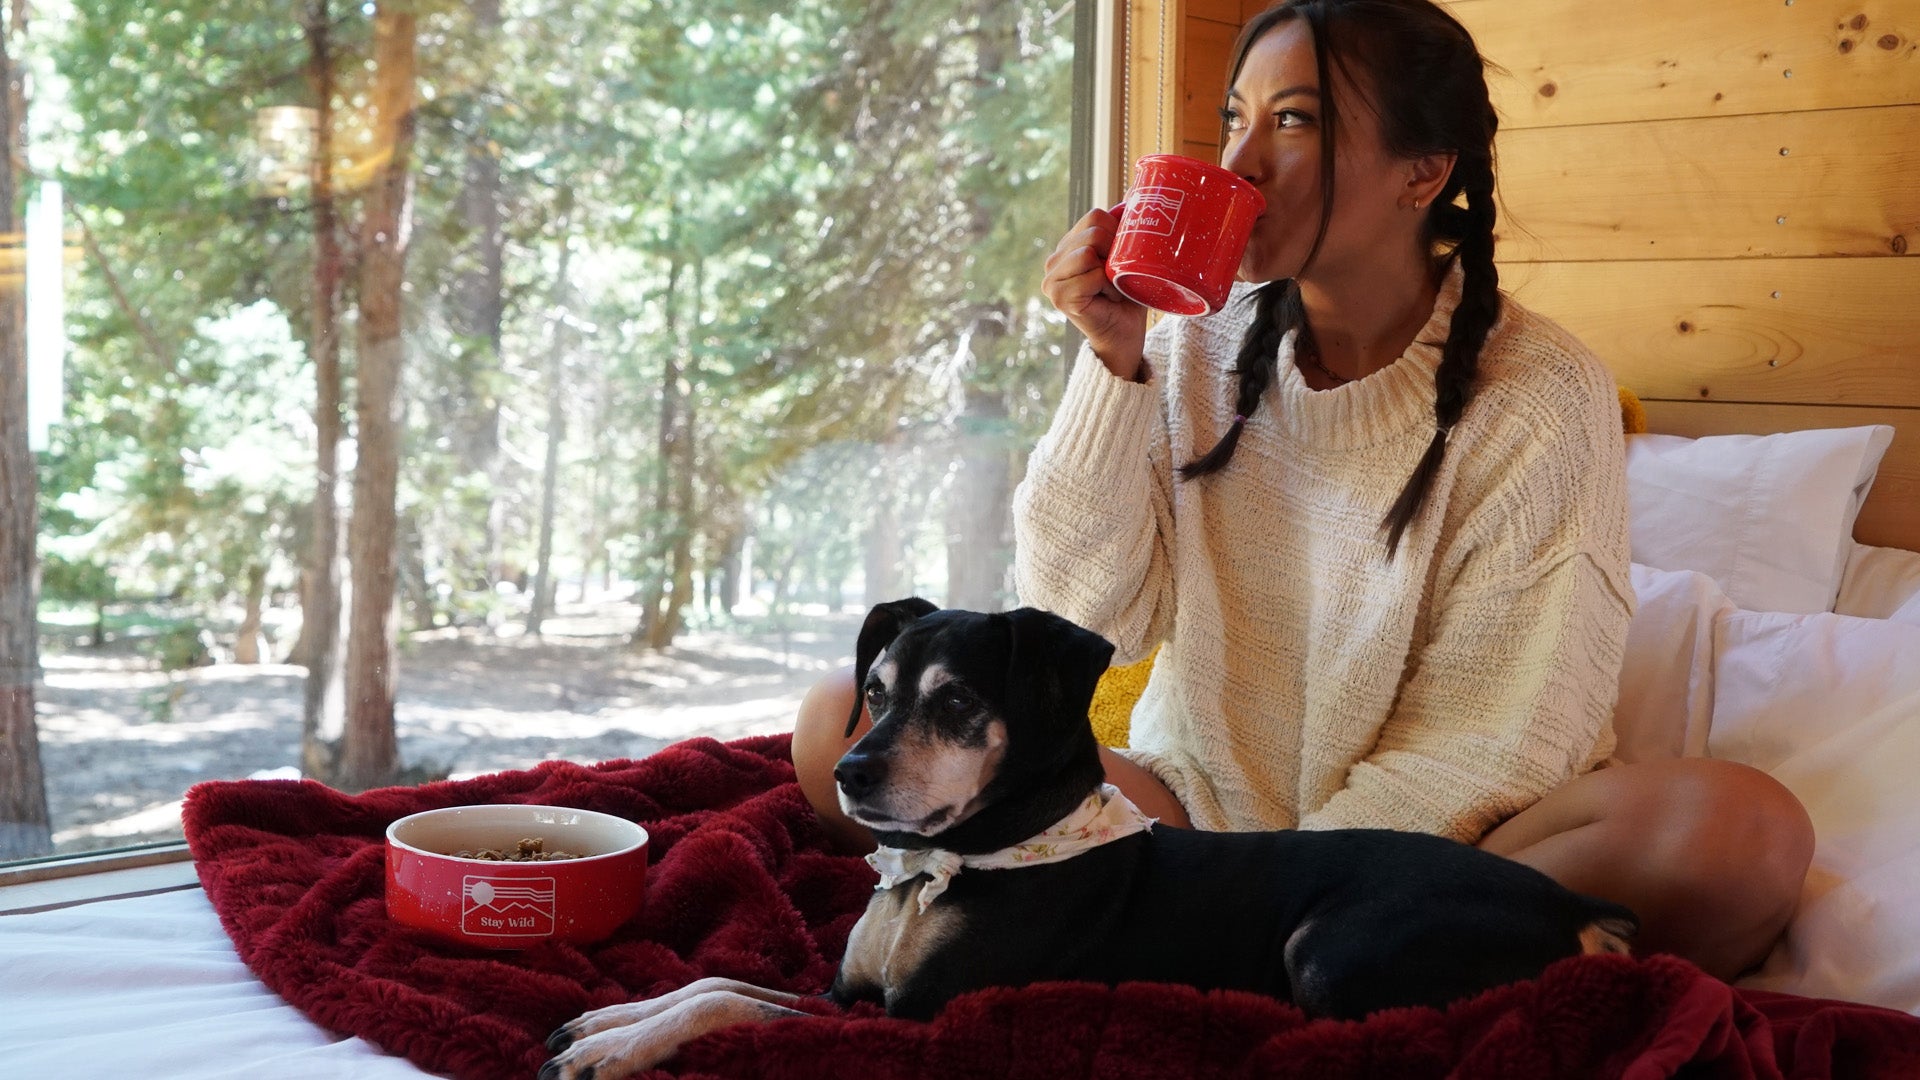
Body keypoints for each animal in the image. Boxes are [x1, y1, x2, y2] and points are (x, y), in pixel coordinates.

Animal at [541, 599, 1635, 1068]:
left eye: (959, 702)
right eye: (877, 692)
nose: (851, 776)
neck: (948, 865)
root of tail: (1576, 908)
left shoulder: (919, 1016)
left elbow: (738, 1007)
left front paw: (616, 1051)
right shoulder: (851, 991)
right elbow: (721, 982)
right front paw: (609, 1021)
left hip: (1330, 946)